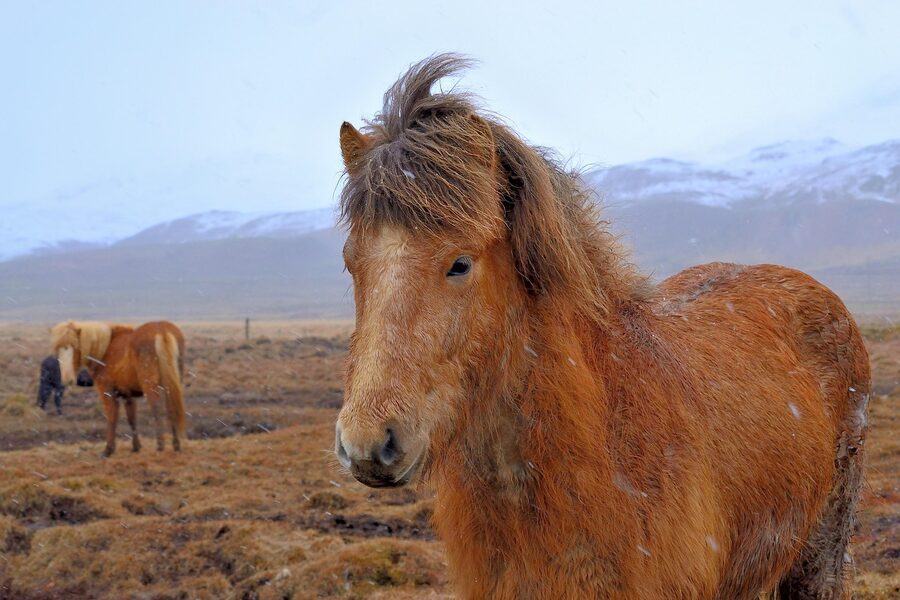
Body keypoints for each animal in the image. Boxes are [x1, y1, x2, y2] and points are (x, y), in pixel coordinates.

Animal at [50, 320, 186, 457]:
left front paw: (108, 449)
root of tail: (161, 330)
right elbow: (131, 418)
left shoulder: (107, 393)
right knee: (171, 408)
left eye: (76, 347)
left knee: (156, 409)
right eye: (58, 350)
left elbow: (112, 417)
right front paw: (136, 447)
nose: (67, 379)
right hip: (171, 383)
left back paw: (160, 446)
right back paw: (176, 445)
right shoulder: (128, 395)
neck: (105, 349)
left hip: (150, 386)